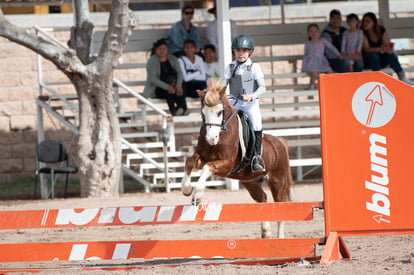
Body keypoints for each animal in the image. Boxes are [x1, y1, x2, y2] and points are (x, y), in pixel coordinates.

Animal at [180, 78, 292, 238]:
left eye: (220, 112)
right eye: (203, 112)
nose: (211, 139)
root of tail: (280, 142)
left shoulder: (226, 164)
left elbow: (207, 169)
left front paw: (197, 195)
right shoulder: (202, 157)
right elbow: (189, 162)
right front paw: (187, 189)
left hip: (278, 181)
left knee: (280, 206)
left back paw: (279, 238)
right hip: (250, 182)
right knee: (262, 198)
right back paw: (266, 232)